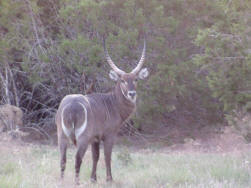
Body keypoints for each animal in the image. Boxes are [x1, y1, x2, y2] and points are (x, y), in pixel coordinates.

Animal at [55, 39, 149, 184]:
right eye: (122, 80)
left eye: (136, 79)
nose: (132, 93)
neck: (112, 103)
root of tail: (72, 105)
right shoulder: (109, 135)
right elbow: (107, 156)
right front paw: (109, 179)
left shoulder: (95, 139)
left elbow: (96, 156)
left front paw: (93, 179)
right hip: (82, 137)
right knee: (77, 159)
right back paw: (77, 182)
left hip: (62, 135)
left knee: (63, 160)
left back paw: (62, 180)